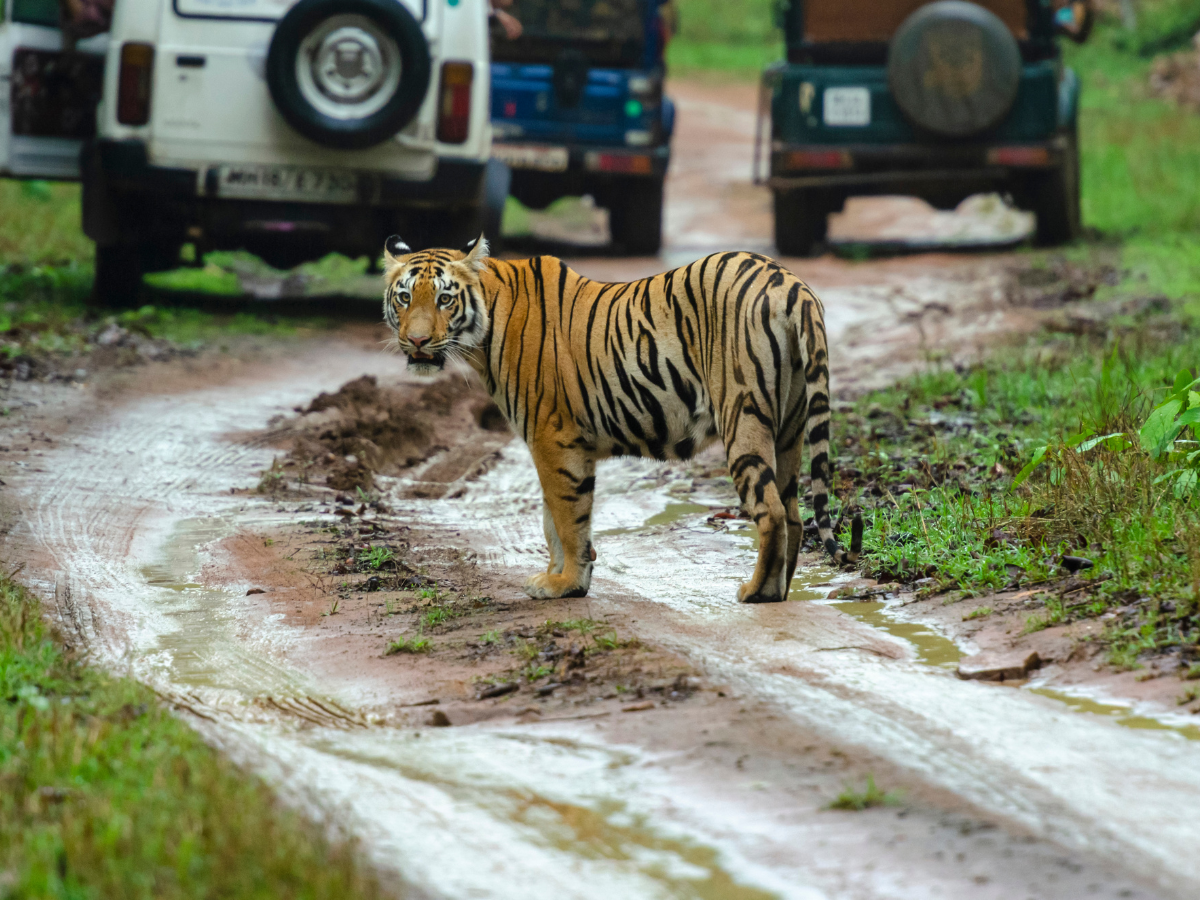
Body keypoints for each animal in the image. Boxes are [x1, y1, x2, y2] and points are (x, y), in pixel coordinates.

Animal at [379, 236, 859, 607]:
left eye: (445, 298)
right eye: (404, 297)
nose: (416, 341)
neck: (486, 329)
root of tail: (789, 282)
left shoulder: (553, 438)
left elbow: (565, 517)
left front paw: (565, 583)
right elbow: (554, 519)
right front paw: (562, 577)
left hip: (743, 416)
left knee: (772, 510)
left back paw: (756, 592)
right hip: (790, 427)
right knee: (794, 513)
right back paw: (778, 591)